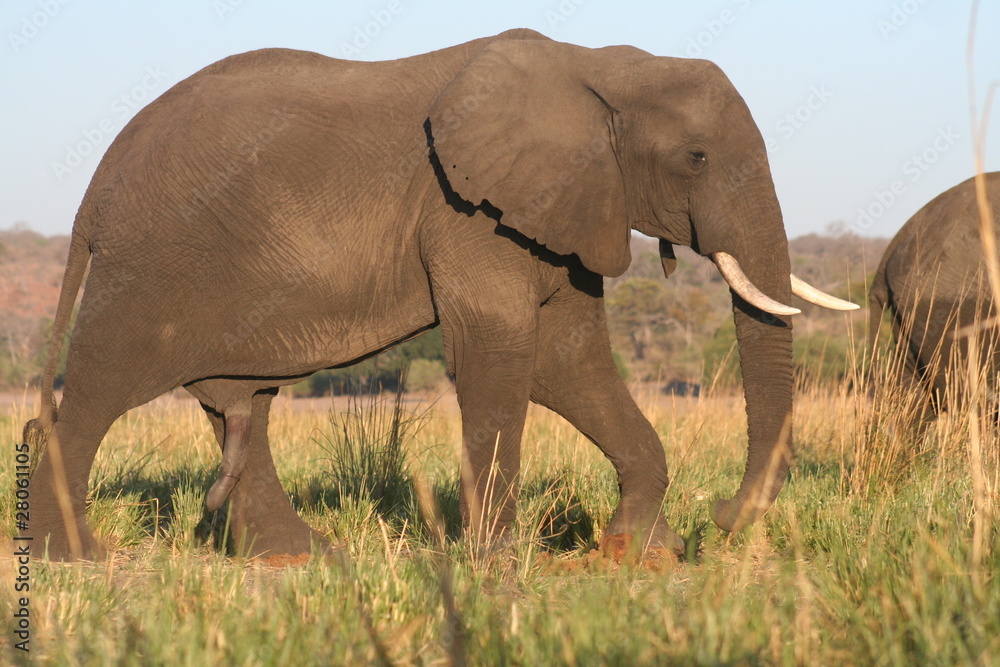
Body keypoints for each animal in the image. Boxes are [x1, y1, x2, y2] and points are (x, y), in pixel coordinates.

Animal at [23, 29, 857, 561]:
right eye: (697, 156)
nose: (722, 521)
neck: (603, 67)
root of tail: (93, 190)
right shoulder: (466, 213)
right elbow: (504, 353)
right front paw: (497, 561)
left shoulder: (563, 207)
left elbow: (569, 361)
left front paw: (641, 550)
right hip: (149, 264)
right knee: (101, 390)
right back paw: (76, 558)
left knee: (243, 408)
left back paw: (306, 558)